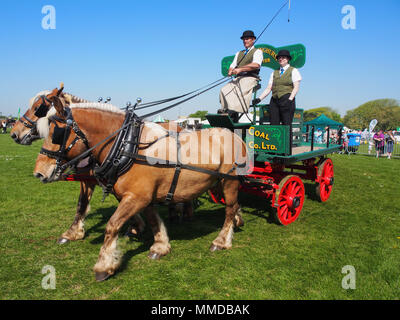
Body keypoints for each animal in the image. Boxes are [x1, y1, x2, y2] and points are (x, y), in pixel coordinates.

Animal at [33, 97, 247, 280]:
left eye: (56, 134)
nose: (39, 173)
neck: (126, 146)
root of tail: (235, 135)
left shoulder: (137, 197)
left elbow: (112, 225)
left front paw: (104, 266)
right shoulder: (144, 197)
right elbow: (153, 220)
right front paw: (160, 246)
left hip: (229, 181)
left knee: (229, 209)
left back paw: (221, 241)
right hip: (217, 183)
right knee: (234, 205)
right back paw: (237, 221)